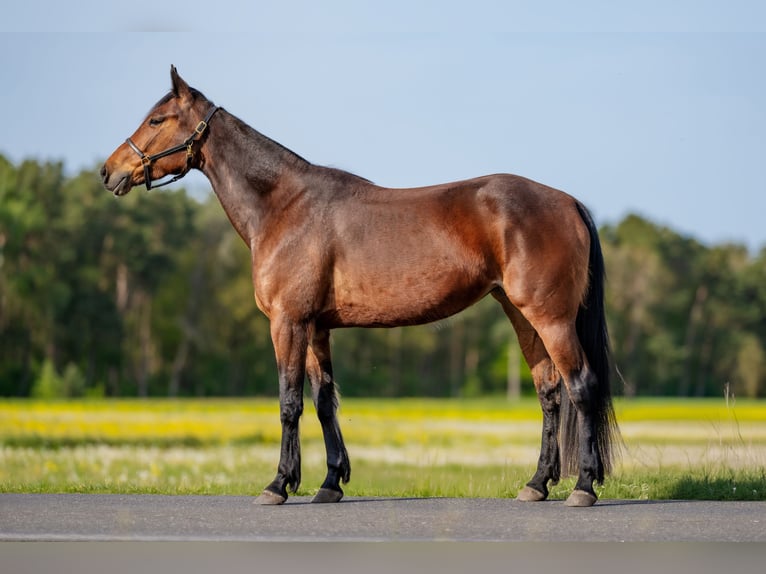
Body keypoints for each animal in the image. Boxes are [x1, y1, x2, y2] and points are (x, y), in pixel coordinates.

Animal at [102, 66, 620, 508]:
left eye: (157, 119)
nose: (110, 171)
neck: (284, 206)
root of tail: (568, 202)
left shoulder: (288, 323)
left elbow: (289, 402)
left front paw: (278, 484)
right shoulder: (315, 327)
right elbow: (323, 402)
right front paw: (329, 483)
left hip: (551, 319)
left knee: (582, 386)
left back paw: (583, 487)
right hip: (521, 315)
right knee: (550, 393)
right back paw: (537, 484)